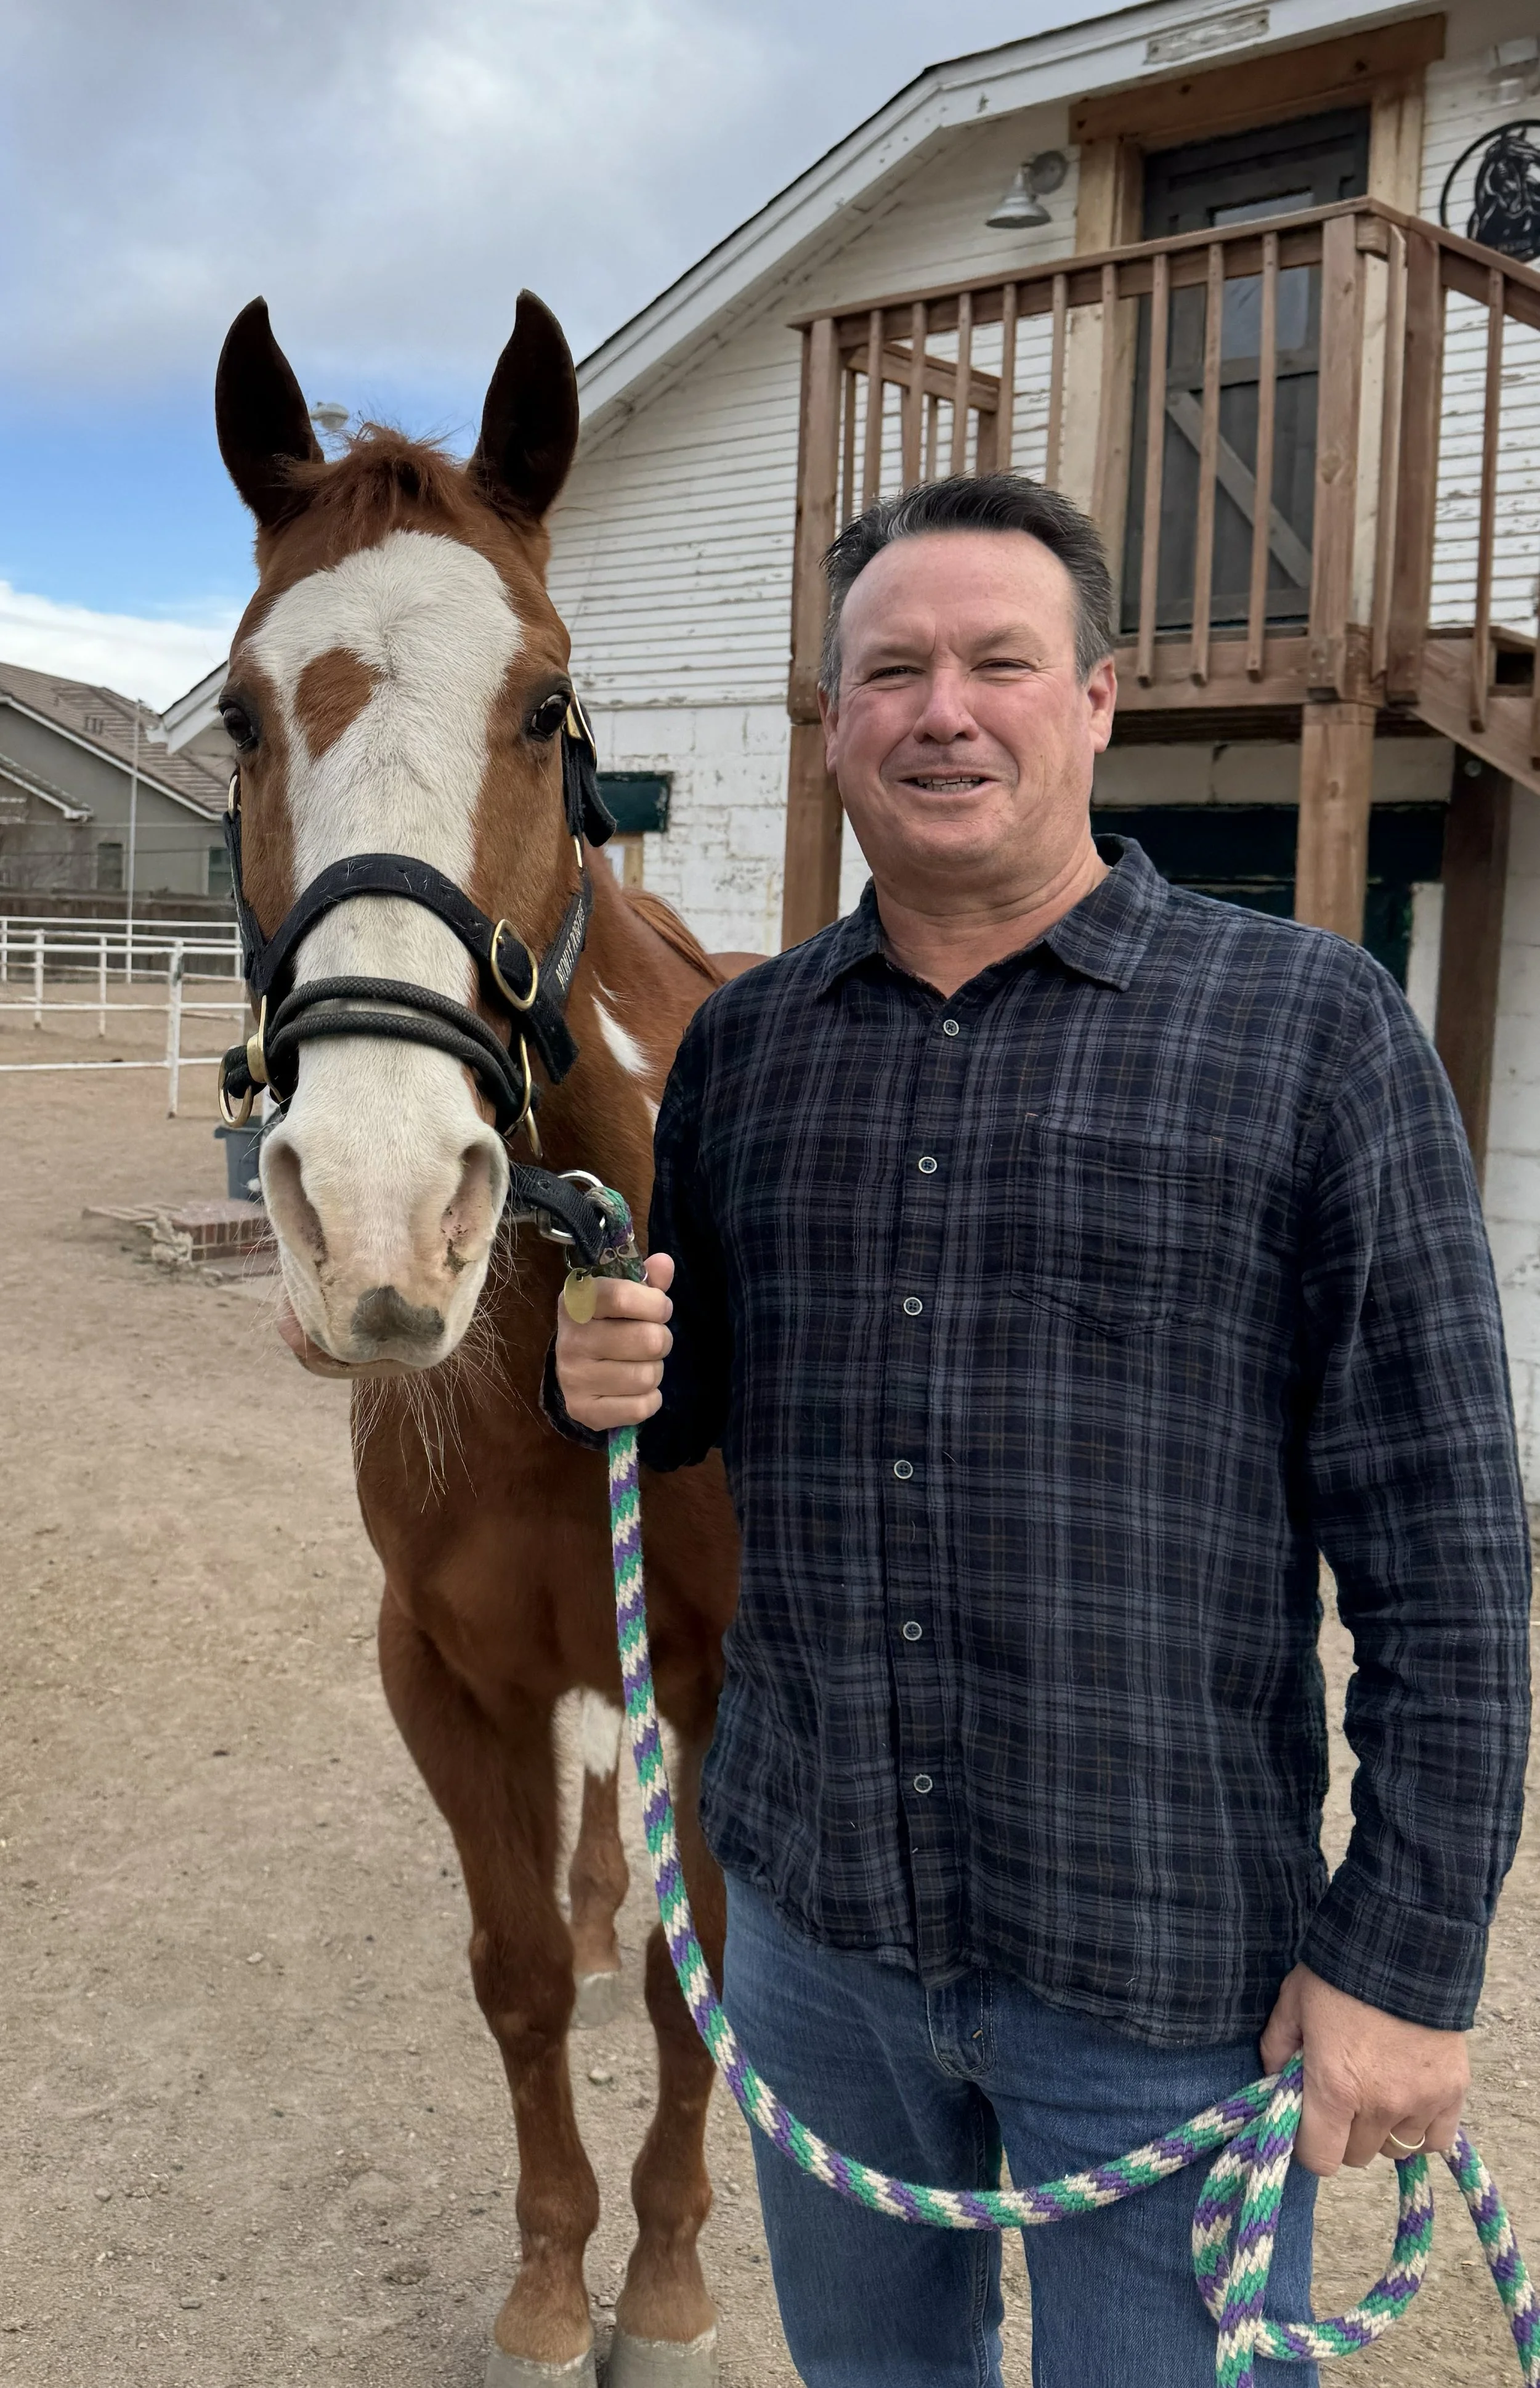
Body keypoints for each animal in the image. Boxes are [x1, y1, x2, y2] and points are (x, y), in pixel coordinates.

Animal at [212, 289, 742, 2386]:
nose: (374, 1208)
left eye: (545, 705)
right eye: (239, 712)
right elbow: (514, 1975)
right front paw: (542, 2284)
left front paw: (661, 2282)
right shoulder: (440, 1669)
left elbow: (697, 1992)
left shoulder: (728, 1692)